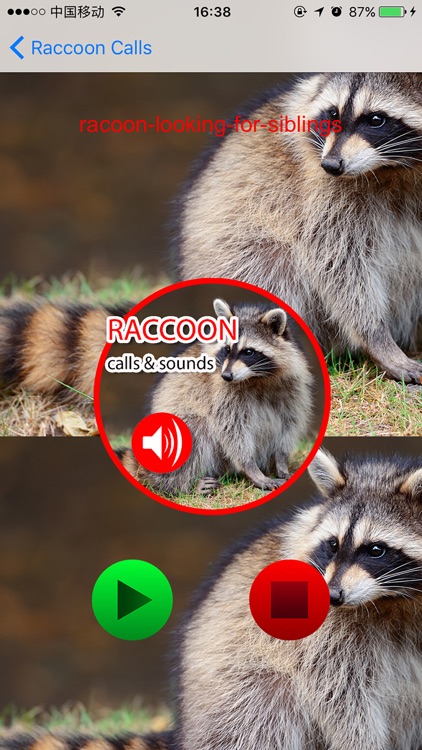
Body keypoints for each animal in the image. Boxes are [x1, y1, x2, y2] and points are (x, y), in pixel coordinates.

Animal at [118, 297, 312, 496]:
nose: (226, 376)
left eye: (248, 352)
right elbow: (232, 430)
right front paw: (251, 468)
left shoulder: (292, 388)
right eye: (227, 349)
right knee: (196, 428)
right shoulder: (222, 394)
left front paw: (281, 461)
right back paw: (181, 484)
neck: (256, 378)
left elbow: (288, 424)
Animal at [176, 72, 422, 384]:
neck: (397, 167)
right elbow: (340, 266)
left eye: (376, 119)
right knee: (274, 264)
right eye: (333, 114)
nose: (331, 164)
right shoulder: (323, 195)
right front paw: (376, 338)